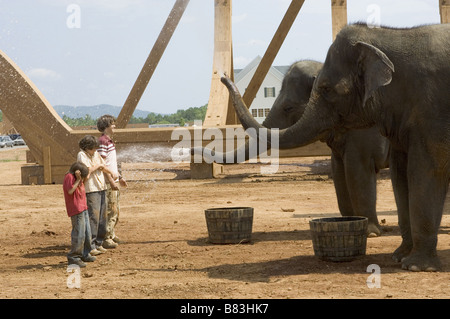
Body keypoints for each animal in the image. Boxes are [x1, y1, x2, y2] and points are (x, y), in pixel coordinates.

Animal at [222, 22, 450, 272]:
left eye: (288, 108)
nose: (223, 76)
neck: (392, 34)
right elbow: (357, 174)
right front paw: (396, 256)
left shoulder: (428, 112)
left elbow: (398, 171)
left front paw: (412, 263)